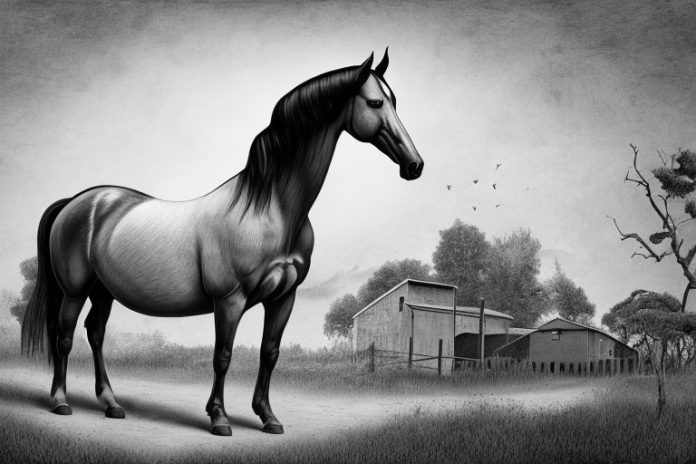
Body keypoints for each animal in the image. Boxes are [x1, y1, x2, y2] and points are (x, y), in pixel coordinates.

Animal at [21, 49, 423, 437]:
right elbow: (223, 356)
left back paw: (111, 403)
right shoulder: (229, 300)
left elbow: (269, 353)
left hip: (103, 290)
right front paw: (219, 418)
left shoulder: (284, 298)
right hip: (76, 290)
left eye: (395, 101)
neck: (269, 209)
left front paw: (268, 417)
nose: (414, 165)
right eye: (375, 103)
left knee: (96, 333)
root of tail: (78, 201)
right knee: (64, 337)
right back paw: (60, 401)